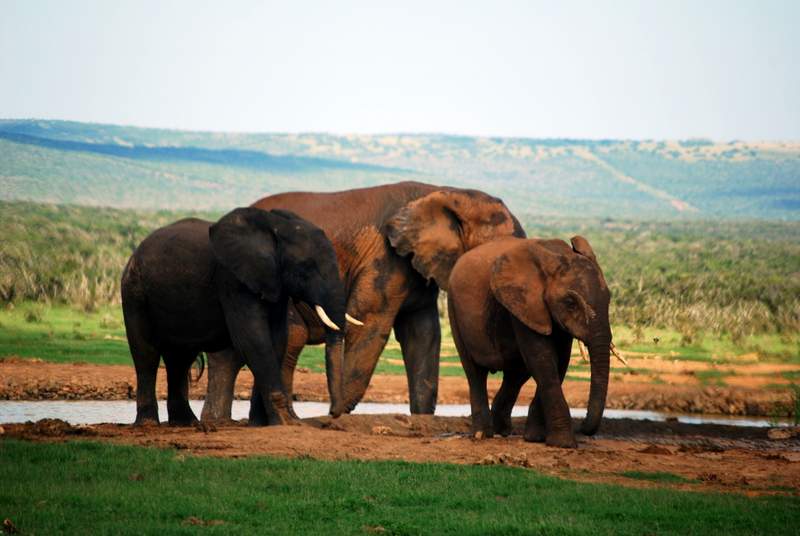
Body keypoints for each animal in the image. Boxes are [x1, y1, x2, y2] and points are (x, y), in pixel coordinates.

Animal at [119, 207, 356, 426]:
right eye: (305, 268)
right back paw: (149, 424)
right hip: (134, 292)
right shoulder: (232, 279)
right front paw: (285, 422)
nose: (333, 414)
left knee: (180, 358)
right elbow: (254, 340)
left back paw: (187, 423)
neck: (274, 227)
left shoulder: (274, 283)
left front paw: (263, 424)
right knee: (146, 354)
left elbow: (277, 339)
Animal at [202, 182, 524, 420]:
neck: (448, 191)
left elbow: (423, 335)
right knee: (291, 338)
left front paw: (422, 419)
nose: (330, 414)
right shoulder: (385, 259)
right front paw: (338, 417)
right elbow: (369, 325)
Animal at [446, 234, 608, 448]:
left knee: (516, 374)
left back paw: (502, 430)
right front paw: (563, 444)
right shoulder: (523, 303)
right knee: (475, 373)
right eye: (570, 303)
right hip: (453, 309)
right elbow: (543, 359)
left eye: (609, 298)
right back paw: (483, 434)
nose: (583, 427)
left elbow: (558, 361)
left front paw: (536, 438)